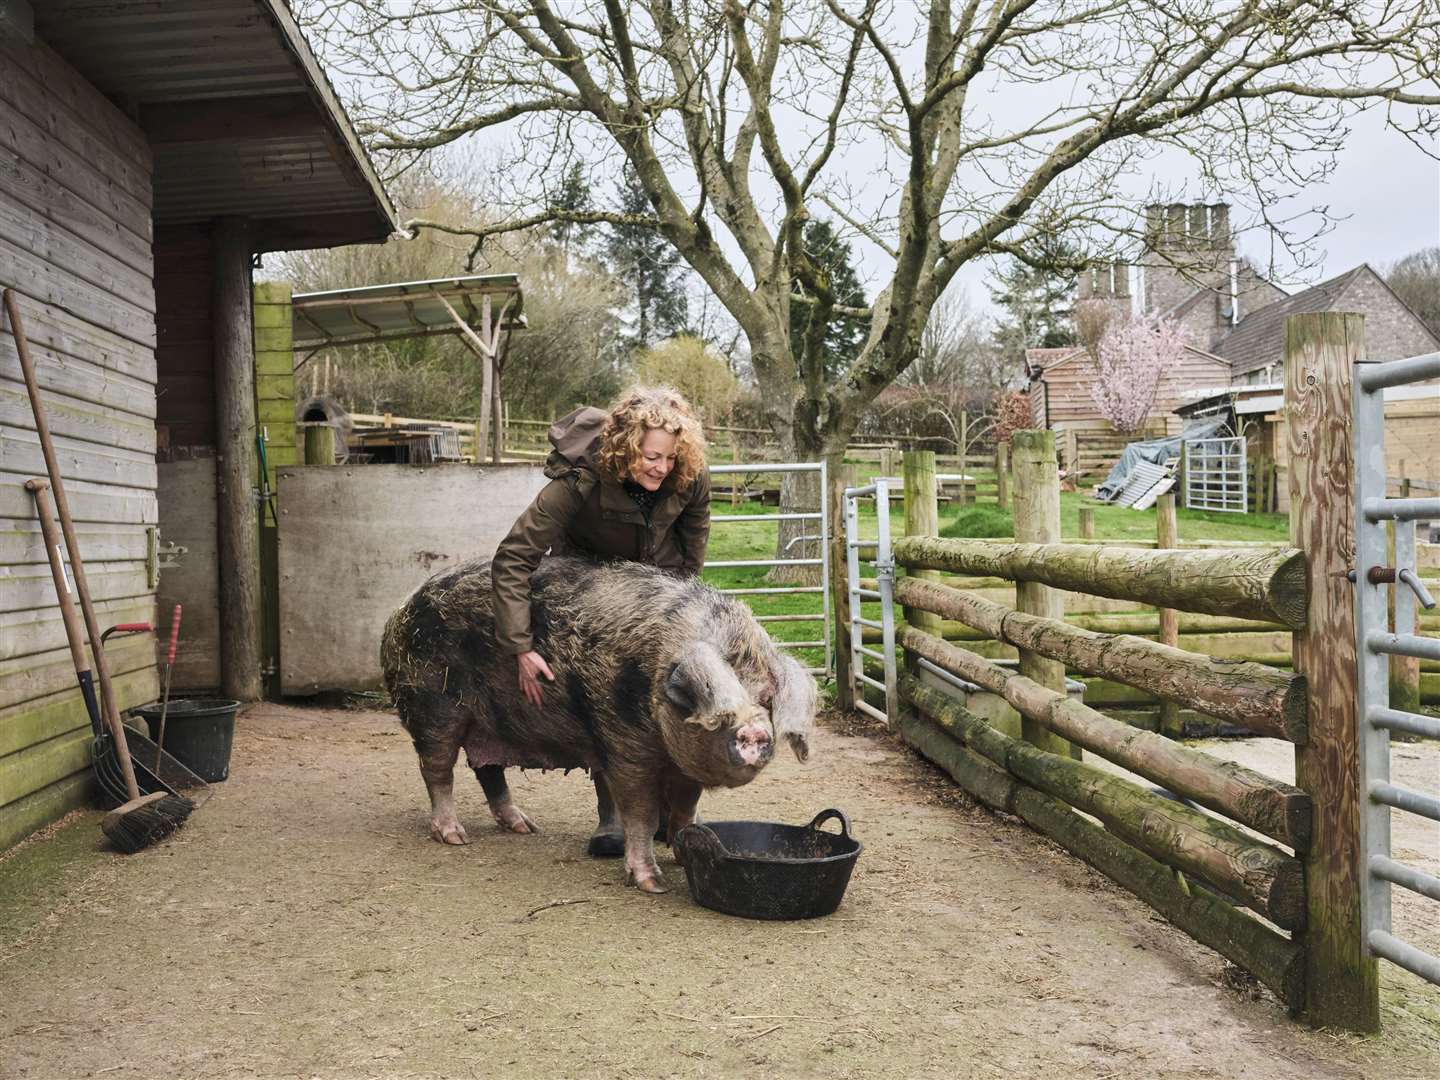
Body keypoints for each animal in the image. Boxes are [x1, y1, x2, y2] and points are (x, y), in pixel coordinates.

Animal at [377, 558, 817, 898]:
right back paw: (455, 836)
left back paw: (525, 828)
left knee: (487, 769)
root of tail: (400, 609)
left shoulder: (684, 764)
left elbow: (685, 810)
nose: (757, 732)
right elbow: (640, 814)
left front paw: (683, 851)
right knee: (438, 771)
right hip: (433, 707)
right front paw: (653, 884)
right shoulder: (625, 746)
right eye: (720, 704)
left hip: (489, 721)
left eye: (766, 698)